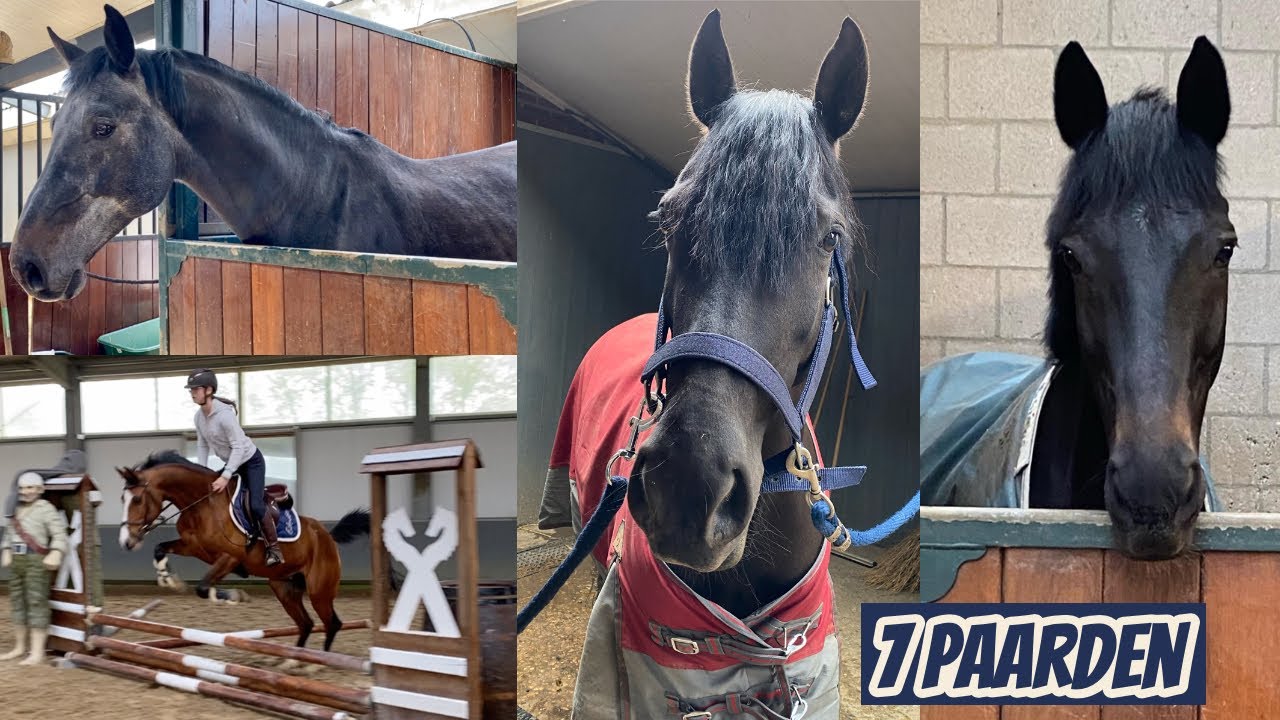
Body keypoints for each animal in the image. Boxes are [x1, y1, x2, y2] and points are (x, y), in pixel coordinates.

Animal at [117, 451, 369, 653]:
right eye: (122, 499)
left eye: (137, 499)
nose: (126, 542)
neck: (202, 504)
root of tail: (327, 535)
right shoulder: (194, 547)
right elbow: (160, 549)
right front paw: (169, 579)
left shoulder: (231, 557)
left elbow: (203, 588)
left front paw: (232, 597)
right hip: (284, 587)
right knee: (306, 623)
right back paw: (294, 662)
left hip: (319, 590)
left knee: (331, 623)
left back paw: (318, 661)